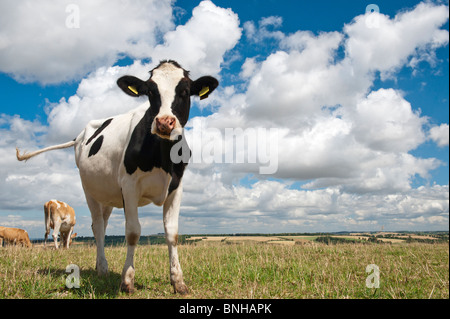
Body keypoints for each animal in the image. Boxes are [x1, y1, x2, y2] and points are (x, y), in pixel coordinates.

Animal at [14, 60, 217, 296]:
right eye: (150, 91)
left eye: (184, 91)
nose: (164, 123)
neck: (162, 155)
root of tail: (79, 136)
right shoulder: (129, 186)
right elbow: (133, 232)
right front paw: (127, 280)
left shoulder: (176, 187)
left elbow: (172, 233)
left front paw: (178, 281)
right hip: (89, 191)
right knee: (98, 227)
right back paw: (102, 268)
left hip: (108, 196)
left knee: (100, 225)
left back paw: (98, 265)